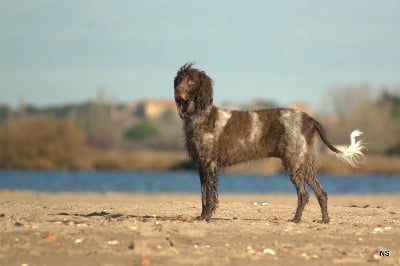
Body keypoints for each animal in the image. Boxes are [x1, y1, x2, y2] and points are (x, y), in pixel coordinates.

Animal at [173, 62, 364, 222]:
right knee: (321, 193)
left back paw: (296, 219)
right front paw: (202, 216)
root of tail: (309, 119)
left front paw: (206, 217)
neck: (200, 115)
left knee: (304, 195)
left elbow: (209, 196)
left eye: (191, 80)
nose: (177, 93)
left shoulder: (210, 165)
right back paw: (324, 220)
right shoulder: (201, 166)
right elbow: (203, 196)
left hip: (294, 164)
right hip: (305, 166)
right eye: (179, 80)